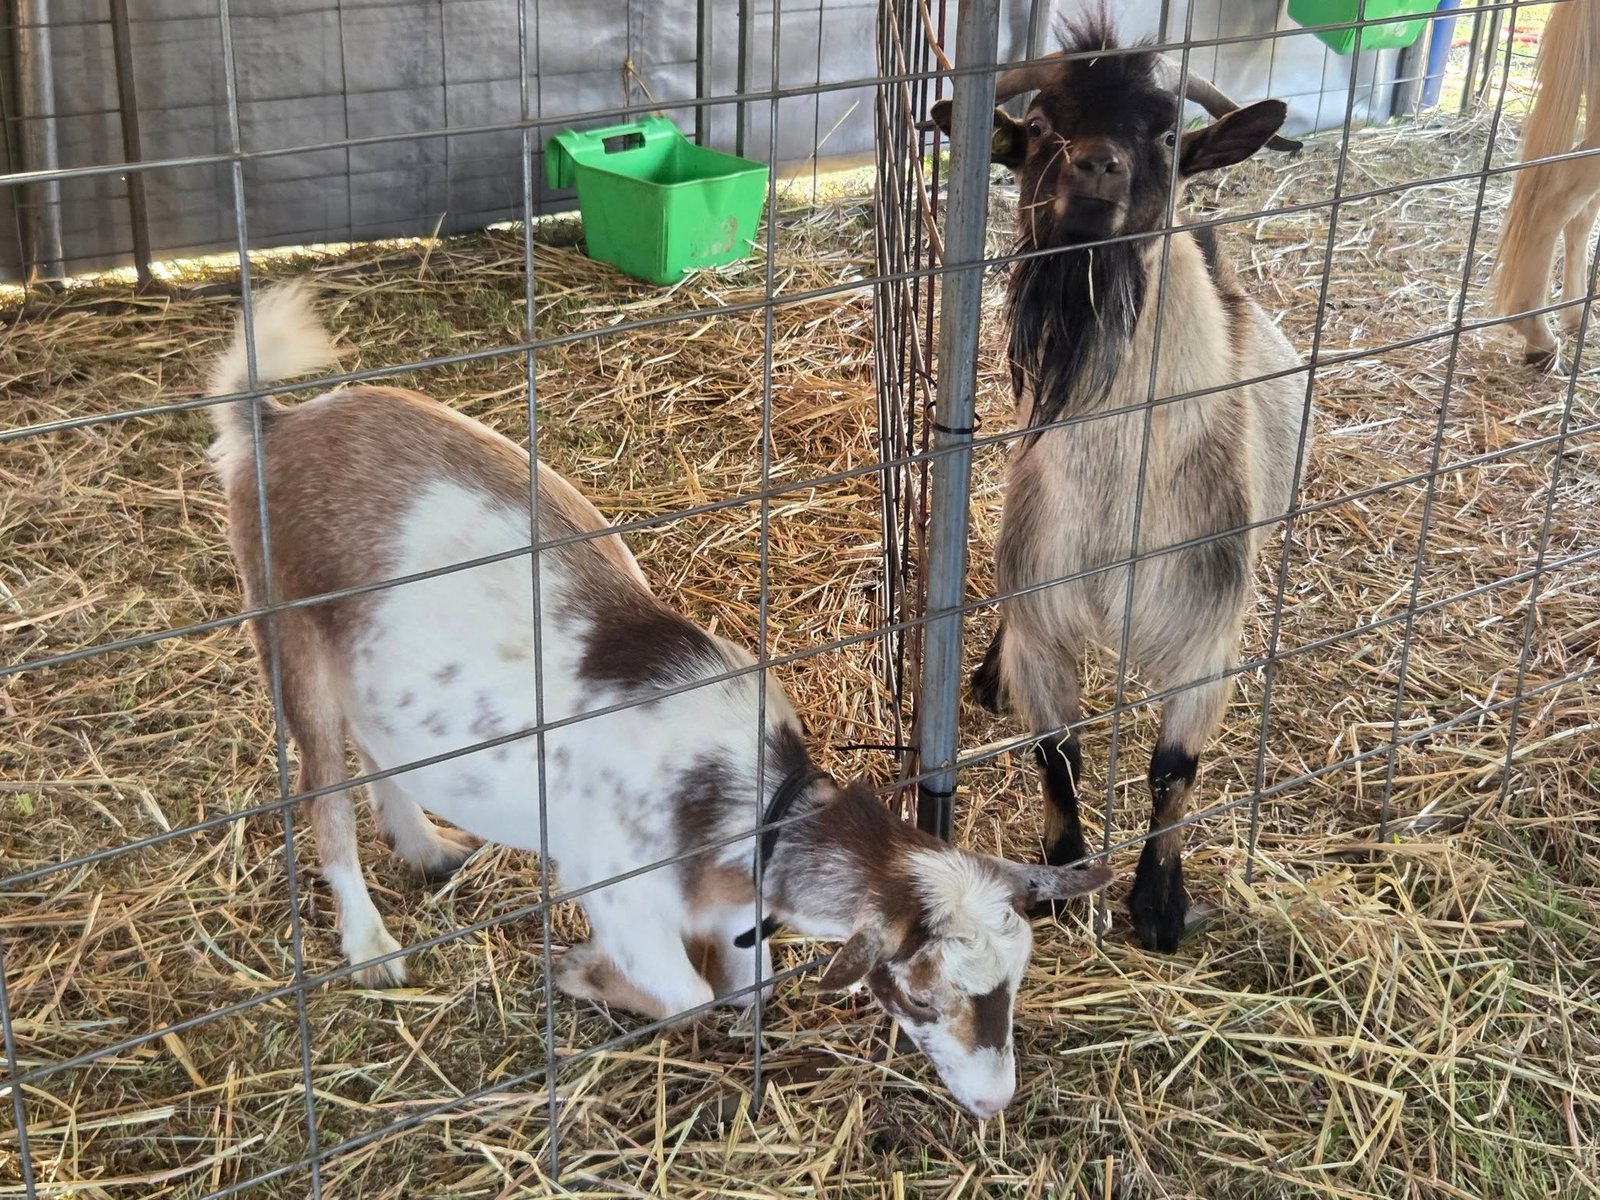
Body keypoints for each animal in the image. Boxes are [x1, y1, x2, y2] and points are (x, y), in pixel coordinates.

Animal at [202, 282, 1109, 1118]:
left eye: (1018, 975)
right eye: (921, 995)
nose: (995, 1101)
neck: (737, 795)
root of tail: (275, 424)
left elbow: (748, 987)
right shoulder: (617, 889)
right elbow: (686, 995)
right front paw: (580, 974)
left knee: (375, 747)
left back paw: (425, 846)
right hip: (285, 629)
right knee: (321, 787)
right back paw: (370, 945)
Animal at [929, 19, 1311, 953]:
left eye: (1168, 135)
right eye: (1039, 125)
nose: (1093, 164)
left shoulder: (1207, 637)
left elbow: (1174, 770)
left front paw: (1159, 904)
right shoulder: (1045, 615)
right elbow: (1057, 755)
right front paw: (1064, 876)